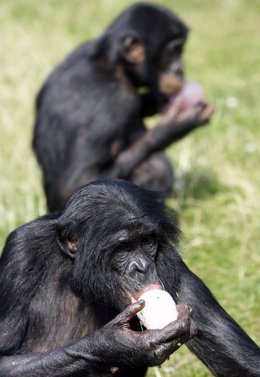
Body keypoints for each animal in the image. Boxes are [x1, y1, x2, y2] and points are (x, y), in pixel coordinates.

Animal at [0, 180, 260, 376]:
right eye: (123, 247)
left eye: (146, 241)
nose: (143, 267)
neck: (74, 272)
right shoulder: (21, 251)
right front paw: (115, 344)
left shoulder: (175, 269)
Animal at [33, 1, 214, 210]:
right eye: (172, 51)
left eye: (180, 50)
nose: (179, 69)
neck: (115, 64)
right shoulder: (111, 102)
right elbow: (74, 184)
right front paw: (177, 124)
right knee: (156, 167)